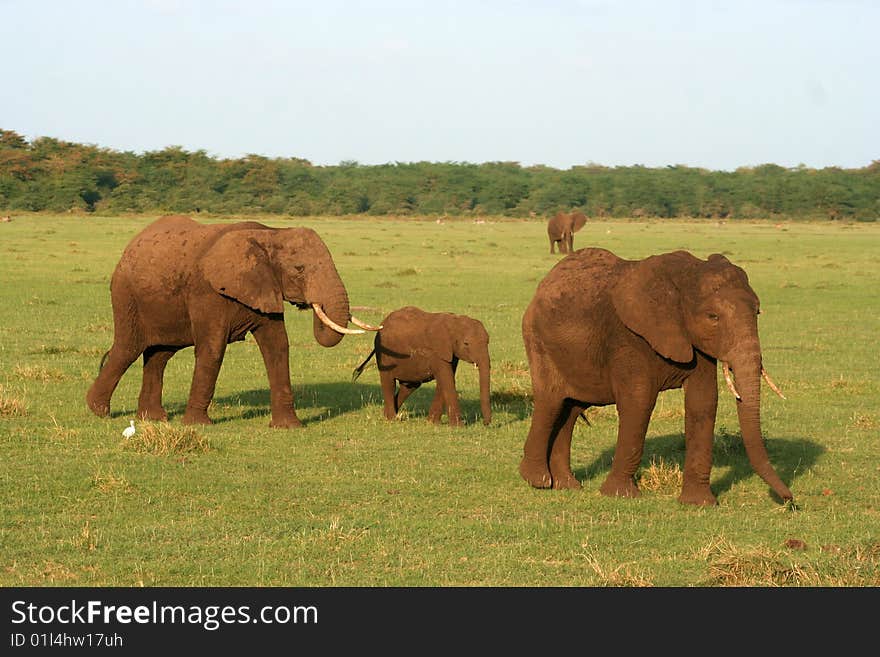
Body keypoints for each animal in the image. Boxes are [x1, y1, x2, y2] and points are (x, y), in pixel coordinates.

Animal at [83, 215, 382, 428]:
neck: (271, 233)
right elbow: (213, 349)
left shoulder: (266, 288)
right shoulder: (207, 291)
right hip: (125, 295)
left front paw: (289, 427)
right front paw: (198, 425)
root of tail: (130, 246)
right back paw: (99, 411)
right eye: (299, 269)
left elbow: (277, 347)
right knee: (128, 349)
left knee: (159, 355)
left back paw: (153, 418)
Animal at [350, 306, 492, 426]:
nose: (485, 423)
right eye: (466, 343)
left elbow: (446, 378)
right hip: (384, 353)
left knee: (409, 387)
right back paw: (391, 419)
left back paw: (387, 415)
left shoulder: (450, 353)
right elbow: (446, 379)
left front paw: (432, 423)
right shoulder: (436, 350)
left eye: (488, 342)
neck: (453, 321)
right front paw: (457, 427)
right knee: (389, 383)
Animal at [520, 249, 796, 504]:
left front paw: (699, 503)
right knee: (551, 401)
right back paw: (537, 480)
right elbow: (638, 402)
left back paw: (567, 485)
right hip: (537, 339)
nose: (790, 500)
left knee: (571, 409)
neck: (686, 276)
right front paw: (621, 495)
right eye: (713, 317)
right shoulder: (630, 336)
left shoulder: (694, 342)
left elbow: (703, 402)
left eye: (757, 312)